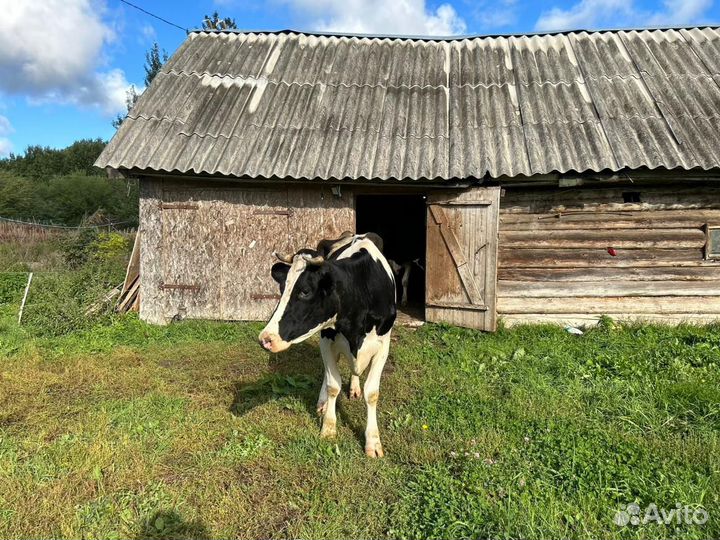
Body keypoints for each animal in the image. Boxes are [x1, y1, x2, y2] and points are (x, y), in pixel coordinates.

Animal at [258, 232, 396, 457]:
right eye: (282, 288)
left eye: (305, 291)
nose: (265, 339)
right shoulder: (326, 338)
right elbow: (333, 385)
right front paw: (329, 427)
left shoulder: (383, 345)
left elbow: (372, 393)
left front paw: (373, 441)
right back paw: (323, 403)